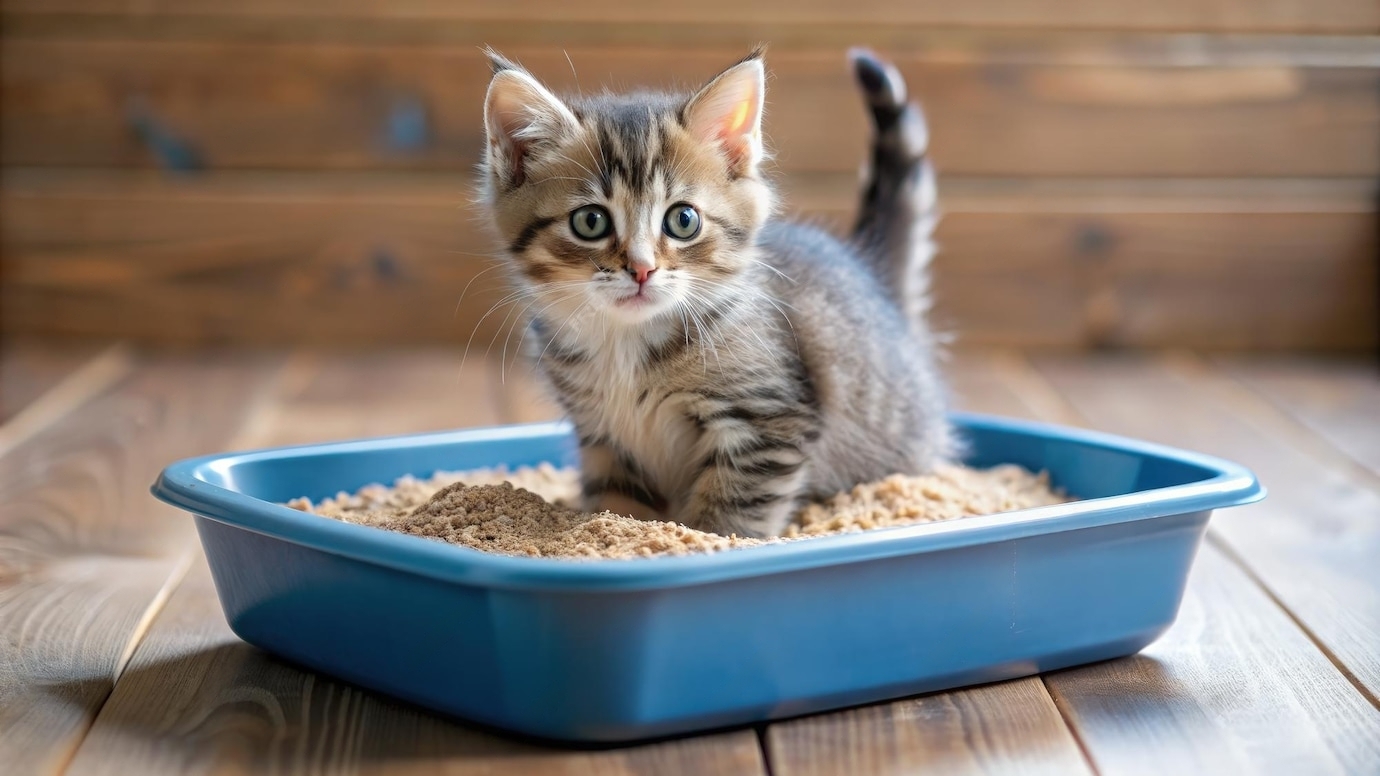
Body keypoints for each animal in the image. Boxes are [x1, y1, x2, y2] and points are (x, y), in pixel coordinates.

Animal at [474, 45, 949, 535]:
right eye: (591, 221)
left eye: (683, 220)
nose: (642, 269)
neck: (625, 345)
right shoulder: (603, 437)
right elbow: (617, 508)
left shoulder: (767, 421)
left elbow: (728, 518)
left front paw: (705, 539)